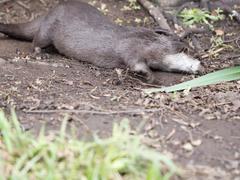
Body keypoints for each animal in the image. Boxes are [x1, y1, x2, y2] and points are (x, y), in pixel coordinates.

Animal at [0, 0, 202, 82]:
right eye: (186, 50)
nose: (200, 65)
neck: (146, 42)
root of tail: (48, 12)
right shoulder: (131, 48)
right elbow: (135, 62)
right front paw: (149, 75)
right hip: (48, 29)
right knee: (36, 41)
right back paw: (40, 54)